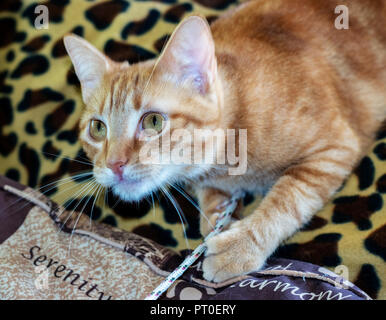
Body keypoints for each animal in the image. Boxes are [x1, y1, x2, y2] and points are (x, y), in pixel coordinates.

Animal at [63, 0, 386, 280]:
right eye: (97, 128)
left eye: (153, 121)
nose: (114, 164)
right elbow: (212, 203)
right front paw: (218, 219)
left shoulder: (335, 147)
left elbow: (287, 200)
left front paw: (240, 246)